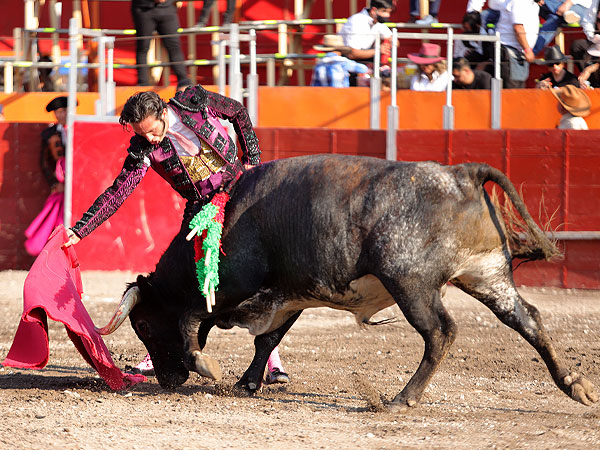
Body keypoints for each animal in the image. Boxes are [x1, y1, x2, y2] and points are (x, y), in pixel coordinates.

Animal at [105, 154, 596, 408]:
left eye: (143, 325)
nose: (168, 380)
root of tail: (462, 174)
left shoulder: (233, 284)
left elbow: (190, 321)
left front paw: (208, 366)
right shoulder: (292, 295)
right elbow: (267, 339)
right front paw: (247, 383)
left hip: (411, 285)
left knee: (440, 331)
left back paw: (403, 398)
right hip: (487, 274)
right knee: (527, 319)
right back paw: (575, 385)